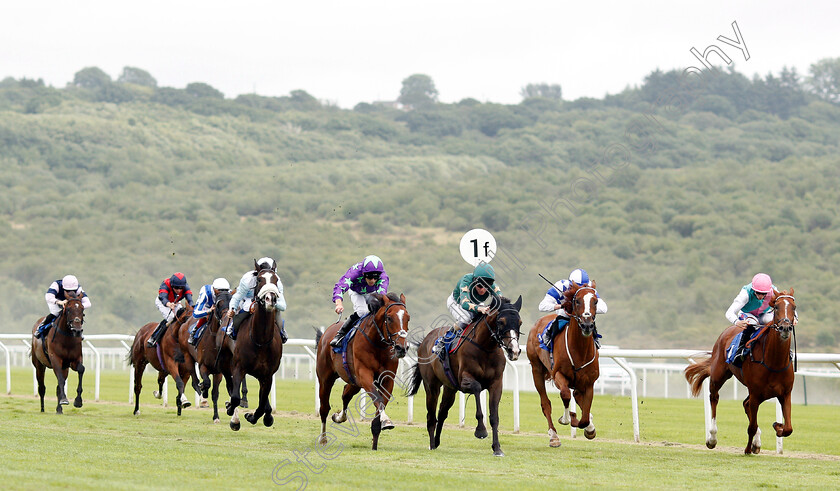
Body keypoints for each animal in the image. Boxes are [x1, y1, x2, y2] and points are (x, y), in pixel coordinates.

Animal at [225, 268, 284, 432]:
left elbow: (262, 404)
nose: (271, 299)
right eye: (259, 280)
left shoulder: (267, 375)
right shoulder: (238, 367)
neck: (261, 341)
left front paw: (253, 417)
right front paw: (231, 412)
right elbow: (235, 398)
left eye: (276, 279)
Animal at [316, 294, 410, 452]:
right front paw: (386, 420)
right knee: (324, 408)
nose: (401, 348)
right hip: (325, 378)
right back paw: (323, 439)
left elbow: (380, 403)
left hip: (354, 381)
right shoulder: (365, 375)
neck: (378, 344)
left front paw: (375, 442)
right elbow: (377, 398)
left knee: (345, 394)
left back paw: (339, 417)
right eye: (389, 318)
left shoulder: (387, 380)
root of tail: (327, 333)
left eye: (408, 318)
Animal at [406, 294, 520, 460]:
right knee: (431, 415)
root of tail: (424, 341)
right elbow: (477, 389)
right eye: (501, 321)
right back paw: (432, 444)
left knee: (442, 412)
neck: (485, 348)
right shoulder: (465, 380)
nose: (515, 351)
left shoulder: (496, 384)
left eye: (519, 322)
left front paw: (497, 448)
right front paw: (480, 430)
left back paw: (437, 441)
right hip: (432, 386)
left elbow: (494, 417)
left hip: (450, 388)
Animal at [524, 282, 596, 448]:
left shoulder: (589, 382)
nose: (587, 325)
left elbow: (585, 416)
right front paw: (567, 418)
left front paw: (588, 427)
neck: (579, 351)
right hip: (536, 370)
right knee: (546, 403)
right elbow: (565, 394)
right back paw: (554, 436)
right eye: (577, 301)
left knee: (577, 396)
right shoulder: (558, 374)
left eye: (595, 301)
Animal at [684, 288, 796, 454]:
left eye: (794, 307)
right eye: (776, 307)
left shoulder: (785, 393)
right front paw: (748, 448)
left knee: (745, 404)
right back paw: (712, 438)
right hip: (718, 375)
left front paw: (778, 426)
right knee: (714, 398)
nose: (785, 327)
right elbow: (752, 426)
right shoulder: (755, 393)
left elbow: (788, 428)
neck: (774, 362)